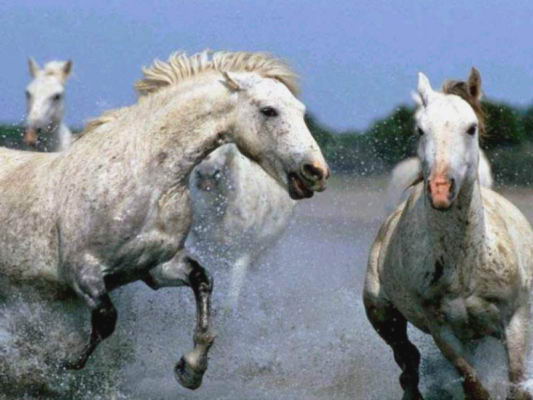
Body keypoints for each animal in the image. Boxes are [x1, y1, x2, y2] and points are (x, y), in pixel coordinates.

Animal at [362, 67, 532, 398]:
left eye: (471, 128)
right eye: (420, 129)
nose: (441, 189)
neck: (466, 263)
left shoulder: (516, 320)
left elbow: (517, 385)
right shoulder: (444, 331)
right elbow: (473, 385)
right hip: (382, 315)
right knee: (408, 361)